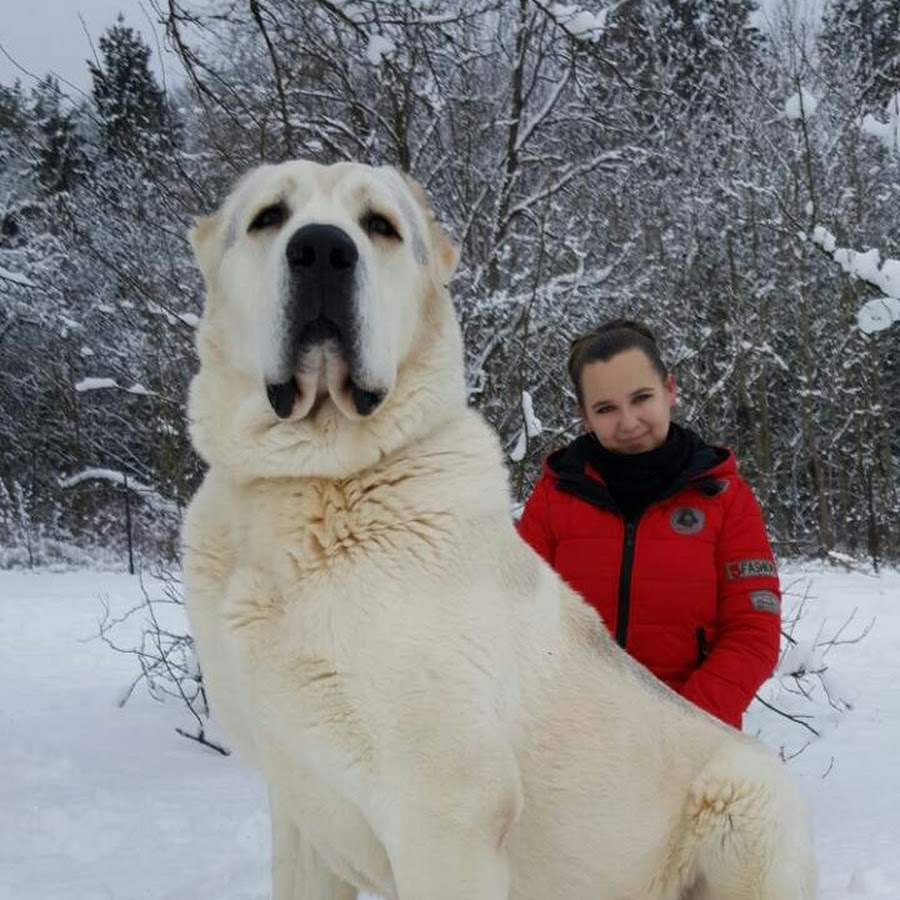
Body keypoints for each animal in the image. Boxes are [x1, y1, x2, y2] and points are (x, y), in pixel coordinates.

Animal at [181, 162, 816, 900]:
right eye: (268, 217)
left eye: (379, 226)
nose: (320, 251)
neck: (310, 481)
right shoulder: (302, 811)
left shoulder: (447, 813)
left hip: (747, 800)